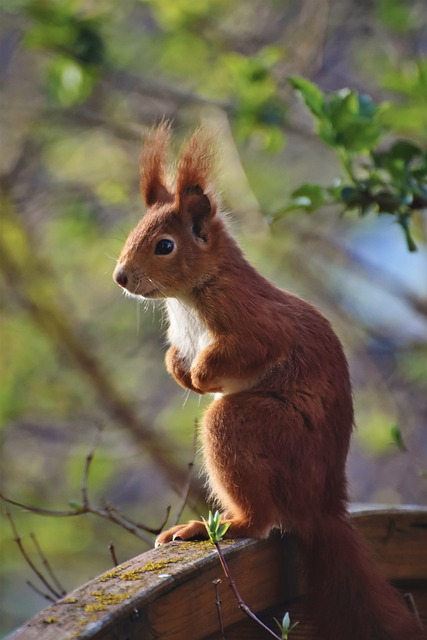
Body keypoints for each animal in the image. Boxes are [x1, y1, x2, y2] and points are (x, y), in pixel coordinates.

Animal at [113, 124, 424, 640]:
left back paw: (212, 526)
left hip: (257, 428)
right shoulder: (183, 336)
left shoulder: (256, 324)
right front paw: (181, 371)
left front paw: (201, 375)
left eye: (164, 245)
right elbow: (173, 356)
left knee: (258, 517)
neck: (188, 297)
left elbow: (246, 350)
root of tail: (322, 504)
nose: (120, 277)